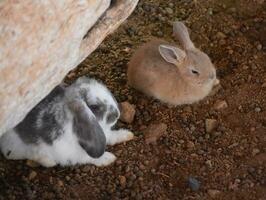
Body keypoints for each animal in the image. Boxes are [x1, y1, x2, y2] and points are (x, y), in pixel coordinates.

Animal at [0, 76, 133, 167]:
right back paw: (48, 161)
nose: (117, 114)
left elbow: (112, 136)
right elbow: (90, 158)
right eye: (94, 106)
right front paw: (108, 158)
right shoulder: (71, 153)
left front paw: (127, 134)